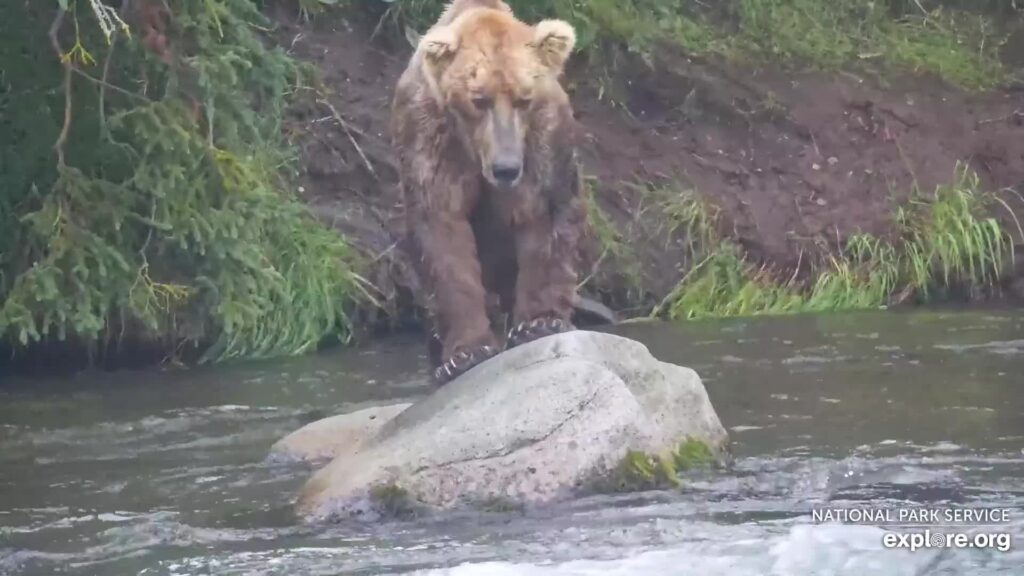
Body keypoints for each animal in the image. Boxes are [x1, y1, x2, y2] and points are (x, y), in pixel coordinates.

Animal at [389, 2, 585, 383]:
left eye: (523, 98)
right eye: (479, 99)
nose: (505, 168)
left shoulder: (541, 140)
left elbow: (544, 217)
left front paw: (540, 322)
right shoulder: (430, 137)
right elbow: (443, 235)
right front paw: (465, 353)